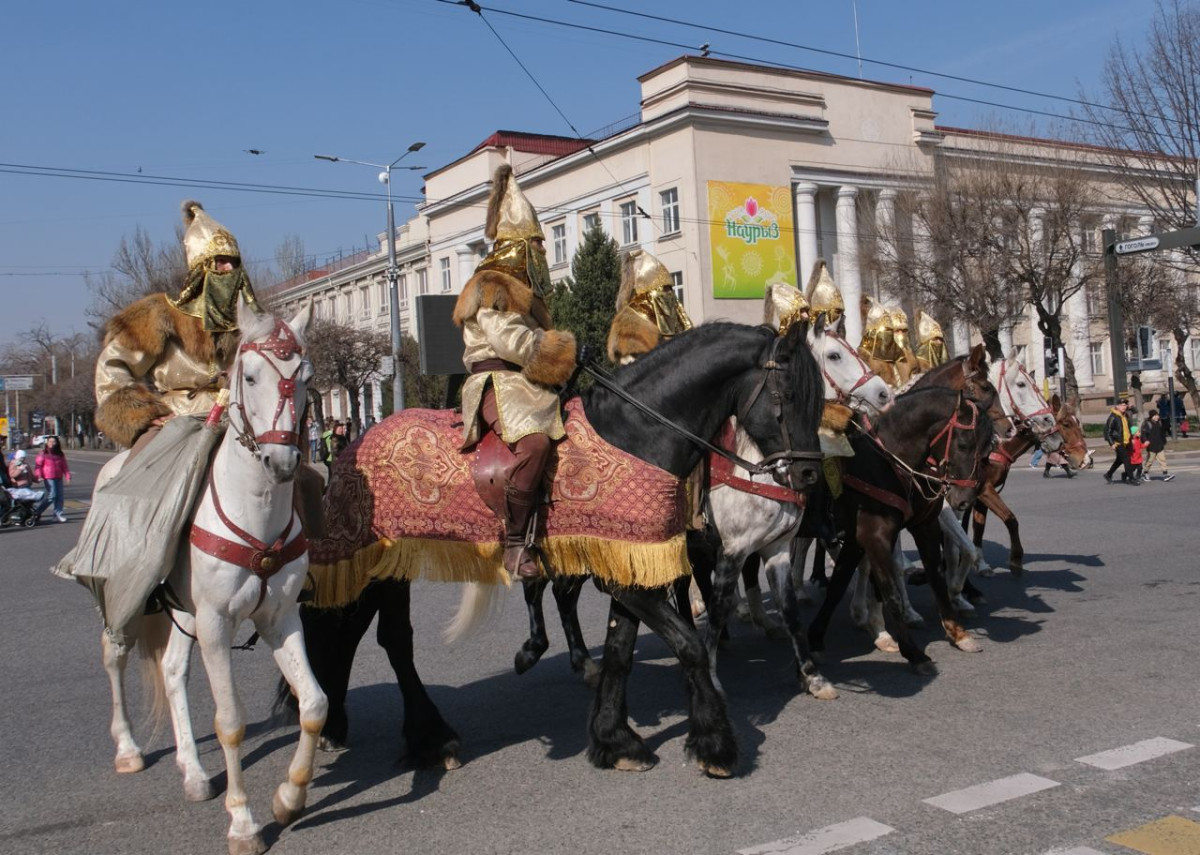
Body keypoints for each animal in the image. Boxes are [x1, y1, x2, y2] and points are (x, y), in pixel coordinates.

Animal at [97, 305, 324, 855]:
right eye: (250, 376)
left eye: (306, 378)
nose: (283, 462)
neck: (255, 513)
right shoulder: (218, 624)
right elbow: (231, 723)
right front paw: (243, 823)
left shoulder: (280, 618)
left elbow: (313, 704)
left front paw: (289, 799)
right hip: (120, 598)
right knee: (114, 655)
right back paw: (128, 748)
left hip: (183, 613)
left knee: (173, 671)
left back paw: (193, 771)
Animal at [297, 321, 825, 773]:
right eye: (789, 394)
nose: (807, 475)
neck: (637, 434)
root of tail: (352, 444)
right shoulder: (636, 576)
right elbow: (691, 645)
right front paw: (714, 744)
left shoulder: (630, 568)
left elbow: (620, 652)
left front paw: (615, 740)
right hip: (377, 560)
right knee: (385, 639)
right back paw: (430, 737)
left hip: (382, 565)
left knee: (359, 633)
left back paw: (352, 725)